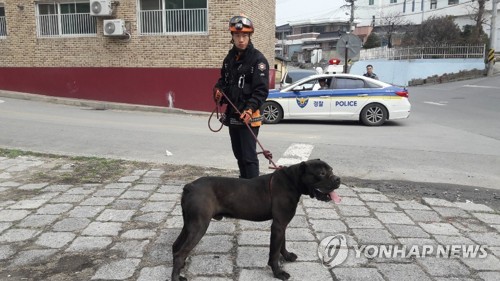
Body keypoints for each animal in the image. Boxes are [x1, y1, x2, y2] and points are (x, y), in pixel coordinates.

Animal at [171, 159, 340, 278]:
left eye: (331, 170)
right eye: (321, 173)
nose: (338, 179)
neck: (292, 182)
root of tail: (190, 186)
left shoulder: (282, 224)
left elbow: (282, 244)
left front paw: (287, 256)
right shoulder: (278, 226)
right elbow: (274, 252)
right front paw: (278, 273)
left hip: (189, 224)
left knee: (176, 247)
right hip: (199, 226)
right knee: (180, 254)